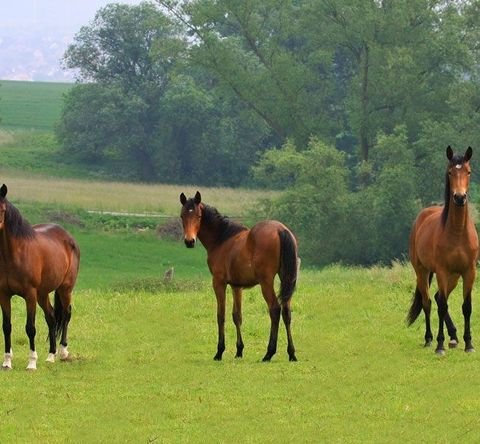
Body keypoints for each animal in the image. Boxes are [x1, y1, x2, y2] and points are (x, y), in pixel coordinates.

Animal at [0, 185, 80, 372]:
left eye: (3, 209)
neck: (14, 254)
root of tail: (68, 237)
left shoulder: (30, 295)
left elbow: (30, 328)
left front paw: (31, 363)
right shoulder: (4, 295)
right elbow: (6, 327)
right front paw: (7, 362)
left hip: (65, 289)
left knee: (66, 315)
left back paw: (63, 352)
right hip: (42, 294)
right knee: (51, 317)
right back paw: (50, 356)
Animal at [181, 191, 300, 360]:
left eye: (198, 216)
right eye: (182, 216)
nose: (189, 241)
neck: (221, 239)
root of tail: (280, 230)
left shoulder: (219, 282)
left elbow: (221, 315)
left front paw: (219, 351)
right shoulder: (236, 286)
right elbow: (237, 316)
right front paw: (239, 350)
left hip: (266, 282)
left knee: (275, 309)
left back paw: (269, 353)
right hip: (286, 278)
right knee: (286, 312)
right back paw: (291, 353)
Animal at [406, 147, 478, 356]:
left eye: (468, 172)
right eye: (450, 172)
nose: (459, 197)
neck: (457, 232)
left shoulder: (469, 272)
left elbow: (467, 307)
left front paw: (469, 344)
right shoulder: (442, 271)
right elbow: (443, 306)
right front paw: (440, 346)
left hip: (453, 276)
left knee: (437, 297)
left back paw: (453, 337)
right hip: (422, 271)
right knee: (429, 302)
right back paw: (430, 339)